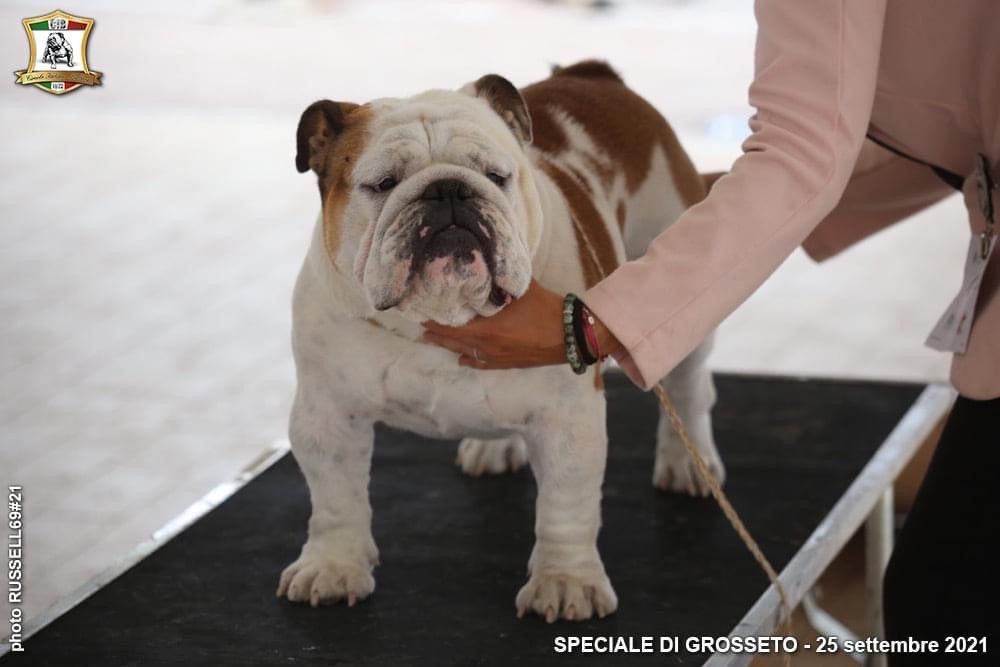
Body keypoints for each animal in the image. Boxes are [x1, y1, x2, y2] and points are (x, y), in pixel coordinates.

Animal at [278, 61, 724, 620]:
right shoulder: (327, 412)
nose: (448, 190)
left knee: (687, 388)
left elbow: (565, 504)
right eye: (382, 183)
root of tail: (596, 75)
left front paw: (565, 582)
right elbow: (335, 494)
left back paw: (689, 463)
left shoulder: (568, 417)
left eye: (496, 176)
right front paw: (333, 566)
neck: (437, 318)